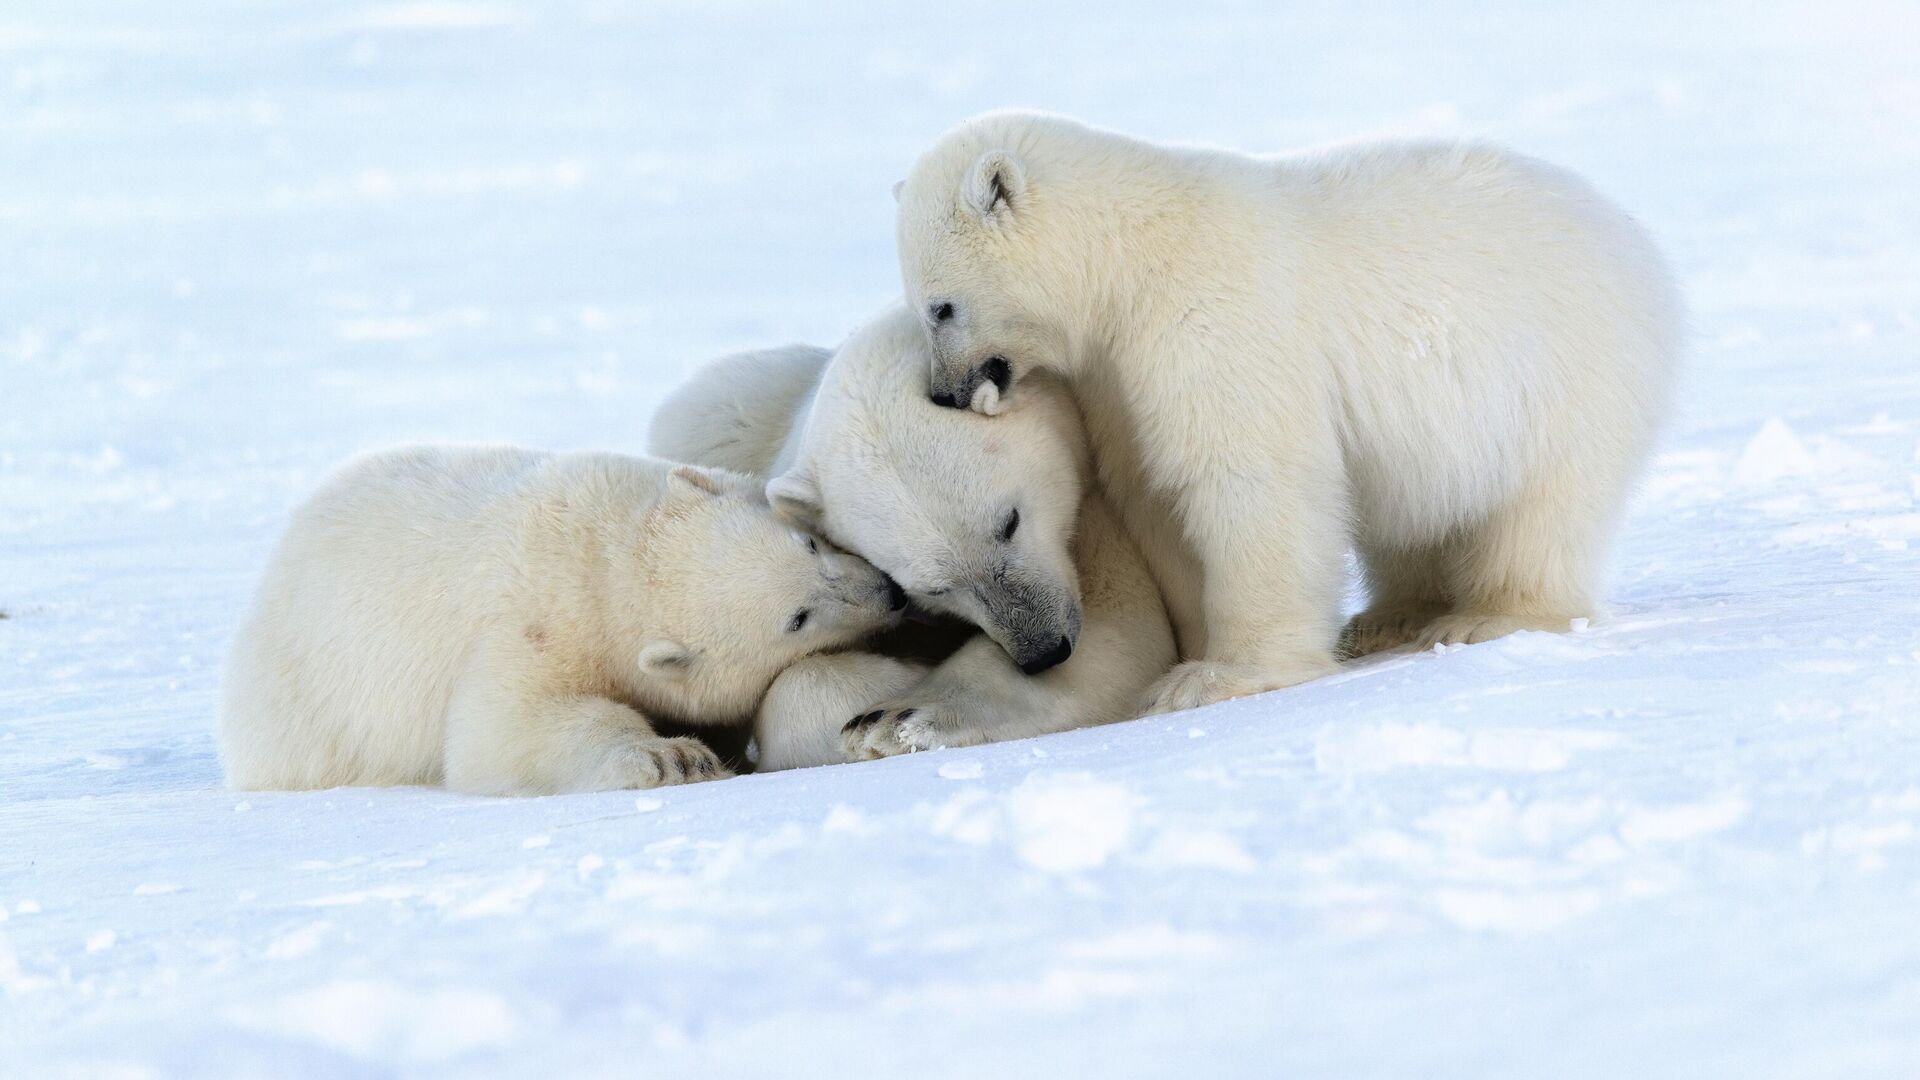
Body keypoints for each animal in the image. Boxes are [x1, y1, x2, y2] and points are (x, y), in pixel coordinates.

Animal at [220, 445, 902, 791]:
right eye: (797, 618)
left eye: (808, 545)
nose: (887, 593)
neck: (609, 556)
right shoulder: (536, 627)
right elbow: (500, 731)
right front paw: (674, 759)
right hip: (308, 713)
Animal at [894, 109, 1681, 714]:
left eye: (940, 306)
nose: (944, 393)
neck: (1131, 258)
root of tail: (1634, 239)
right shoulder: (1115, 379)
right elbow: (1157, 500)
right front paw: (1191, 651)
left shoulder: (1210, 319)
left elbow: (1246, 479)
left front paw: (1216, 678)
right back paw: (1390, 618)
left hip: (1562, 375)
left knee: (1540, 508)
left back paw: (1488, 616)